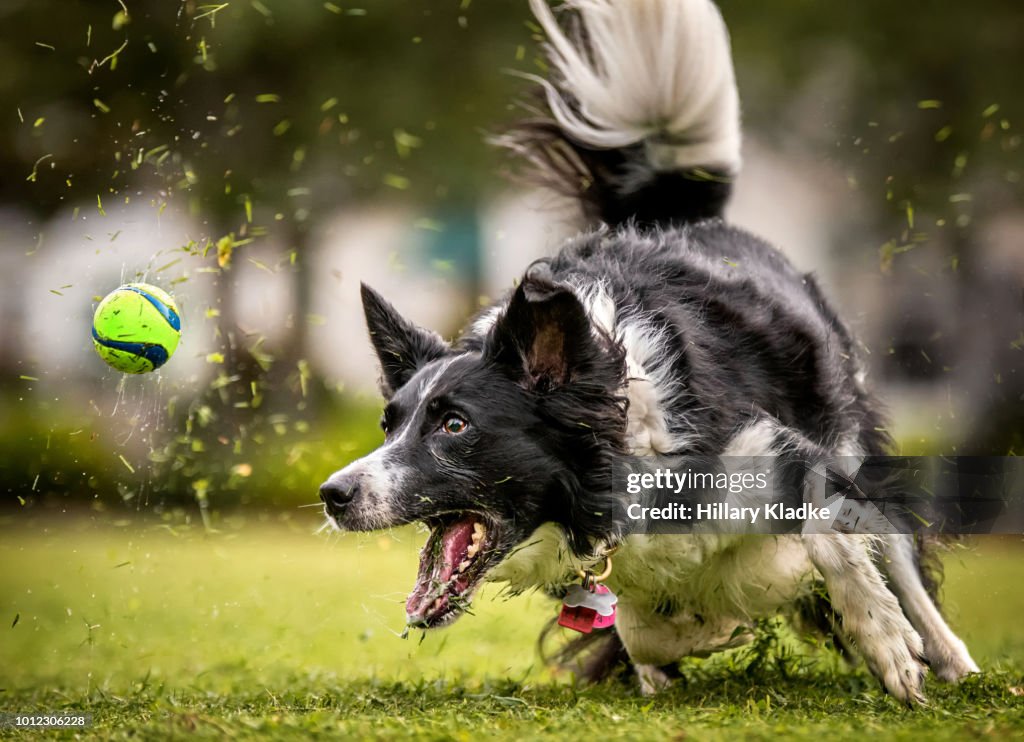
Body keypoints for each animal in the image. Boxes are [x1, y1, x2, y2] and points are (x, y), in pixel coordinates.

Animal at [319, 0, 974, 700]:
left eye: (454, 425)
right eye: (388, 425)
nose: (333, 493)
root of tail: (678, 215)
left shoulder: (771, 448)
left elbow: (828, 534)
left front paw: (886, 642)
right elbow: (644, 628)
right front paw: (702, 632)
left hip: (848, 424)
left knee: (897, 544)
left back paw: (950, 657)